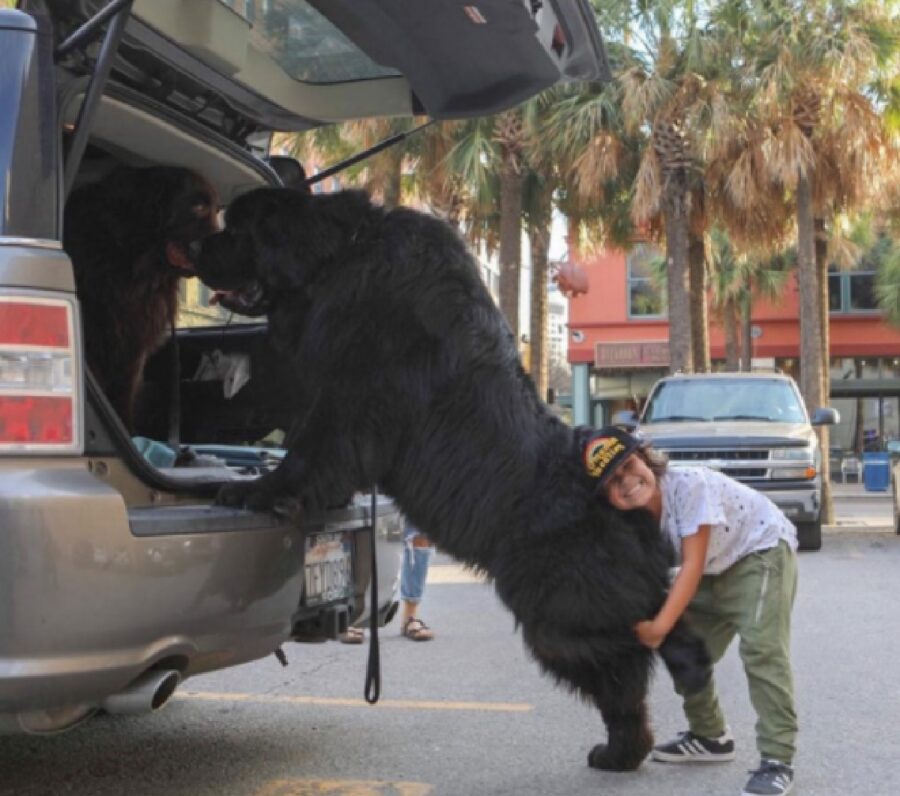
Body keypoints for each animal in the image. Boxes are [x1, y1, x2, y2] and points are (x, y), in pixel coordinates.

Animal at [197, 187, 712, 772]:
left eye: (237, 228)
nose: (195, 244)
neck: (342, 253)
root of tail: (626, 504)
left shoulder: (349, 398)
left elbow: (308, 453)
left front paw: (257, 491)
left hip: (559, 611)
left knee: (624, 669)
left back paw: (621, 750)